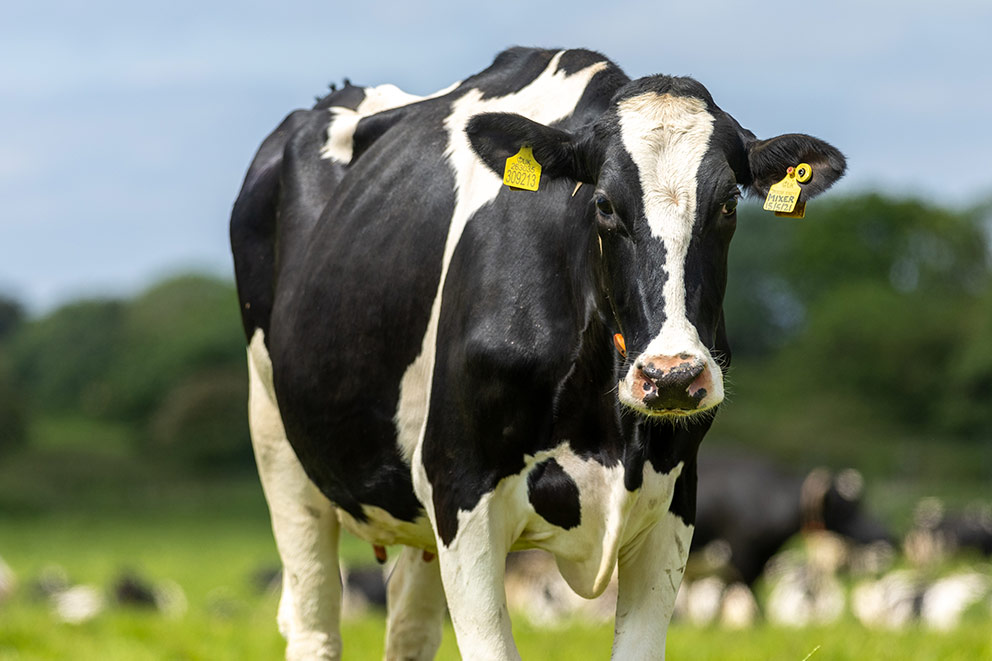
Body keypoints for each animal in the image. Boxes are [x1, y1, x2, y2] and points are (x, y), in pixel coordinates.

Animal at [231, 47, 845, 660]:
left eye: (728, 203)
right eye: (604, 204)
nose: (671, 377)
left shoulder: (675, 501)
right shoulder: (461, 490)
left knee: (409, 625)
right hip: (279, 449)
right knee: (313, 621)